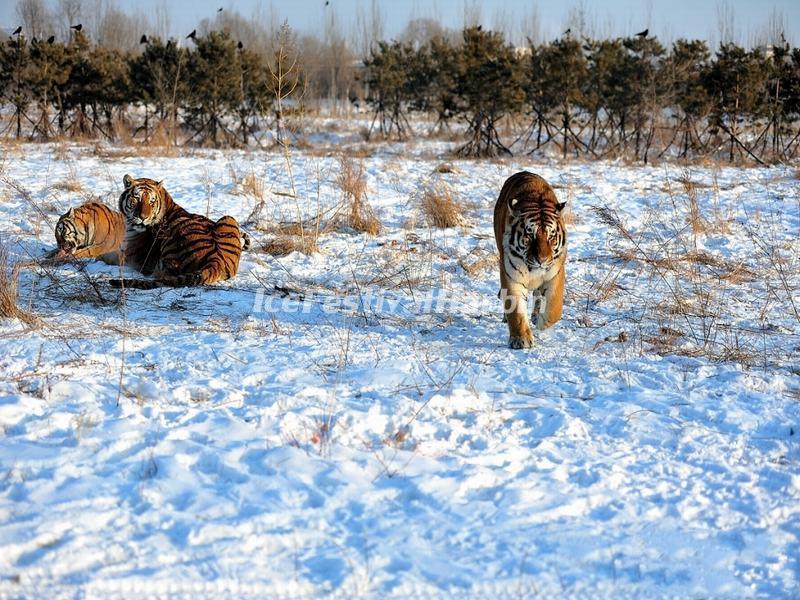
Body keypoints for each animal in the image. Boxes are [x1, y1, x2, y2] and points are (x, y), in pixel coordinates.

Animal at [112, 173, 248, 288]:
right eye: (136, 199)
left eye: (152, 202)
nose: (143, 217)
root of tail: (216, 260)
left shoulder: (130, 256)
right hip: (228, 218)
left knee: (164, 276)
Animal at [490, 170, 564, 346]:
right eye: (530, 236)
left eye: (551, 237)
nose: (542, 260)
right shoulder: (511, 277)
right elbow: (516, 310)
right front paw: (521, 340)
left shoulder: (555, 274)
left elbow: (555, 308)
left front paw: (541, 322)